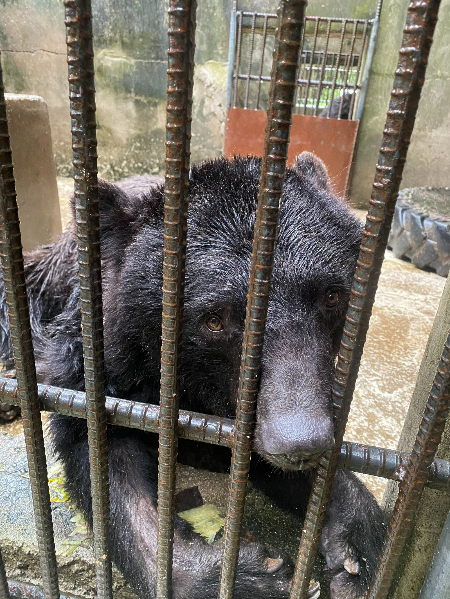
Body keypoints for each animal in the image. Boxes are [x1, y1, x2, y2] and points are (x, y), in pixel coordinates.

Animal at [1, 155, 384, 599]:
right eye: (214, 319)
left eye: (332, 296)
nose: (300, 443)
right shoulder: (97, 360)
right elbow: (96, 450)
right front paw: (251, 577)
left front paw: (357, 548)